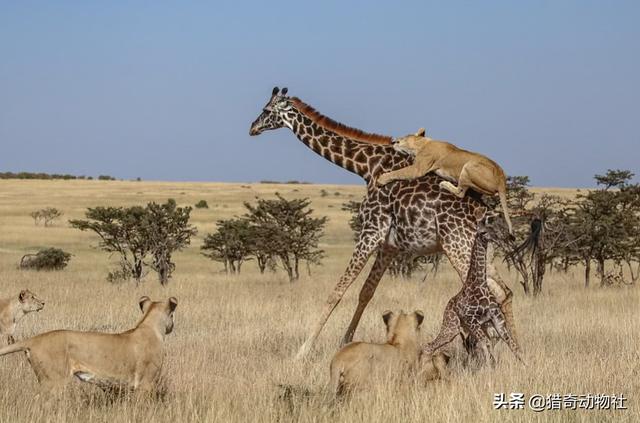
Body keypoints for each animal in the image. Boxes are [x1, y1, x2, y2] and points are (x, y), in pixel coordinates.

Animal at [248, 88, 516, 360]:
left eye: (266, 110)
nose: (252, 128)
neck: (365, 166)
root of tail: (487, 213)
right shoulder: (389, 245)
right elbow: (366, 291)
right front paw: (346, 341)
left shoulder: (371, 231)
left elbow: (338, 291)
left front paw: (302, 352)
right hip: (481, 253)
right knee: (503, 292)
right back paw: (503, 347)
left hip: (458, 247)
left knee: (488, 294)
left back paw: (483, 347)